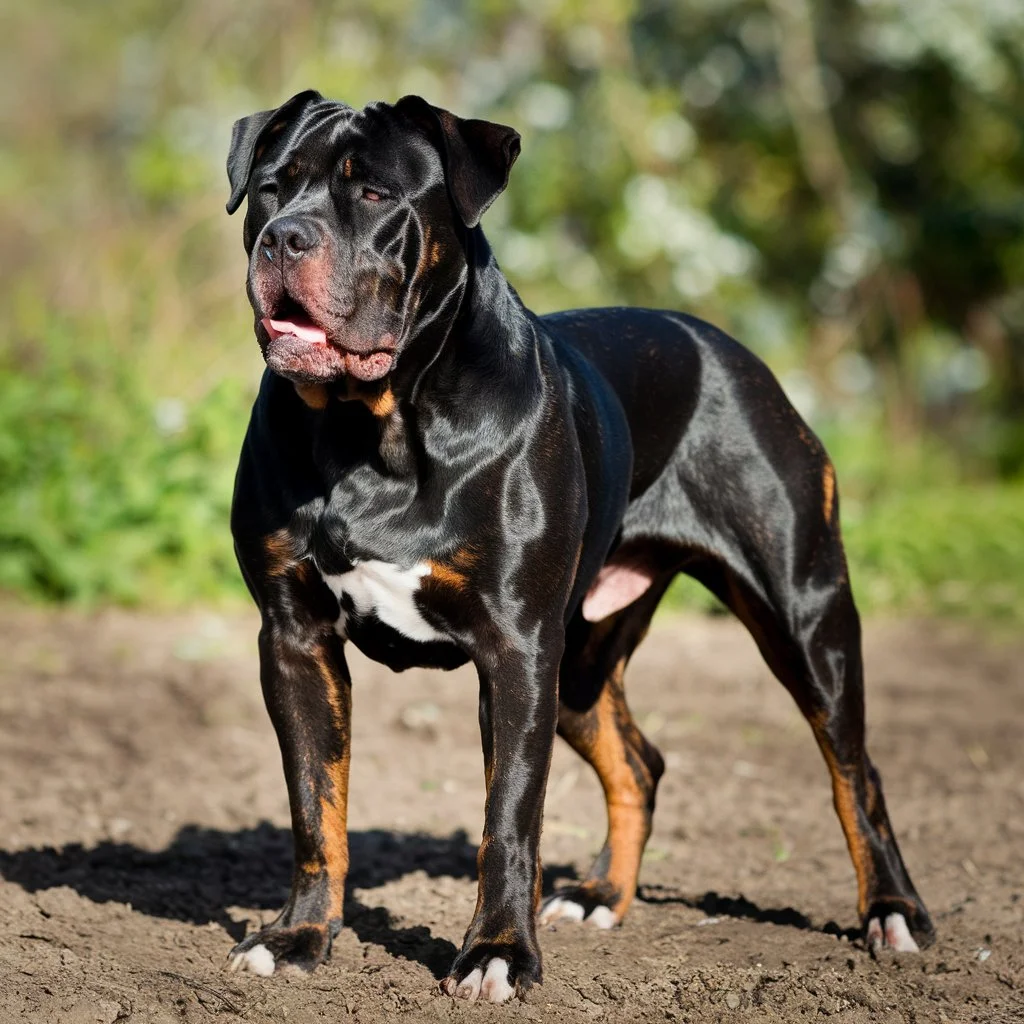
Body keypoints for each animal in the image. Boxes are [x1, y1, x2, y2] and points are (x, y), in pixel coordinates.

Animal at [224, 92, 937, 1003]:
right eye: (272, 189)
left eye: (375, 194)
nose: (285, 238)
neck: (373, 425)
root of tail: (735, 352)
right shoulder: (296, 639)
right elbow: (316, 803)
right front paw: (300, 937)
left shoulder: (516, 647)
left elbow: (508, 815)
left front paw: (496, 953)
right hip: (581, 660)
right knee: (639, 763)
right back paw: (603, 895)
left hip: (805, 616)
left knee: (856, 773)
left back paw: (893, 912)